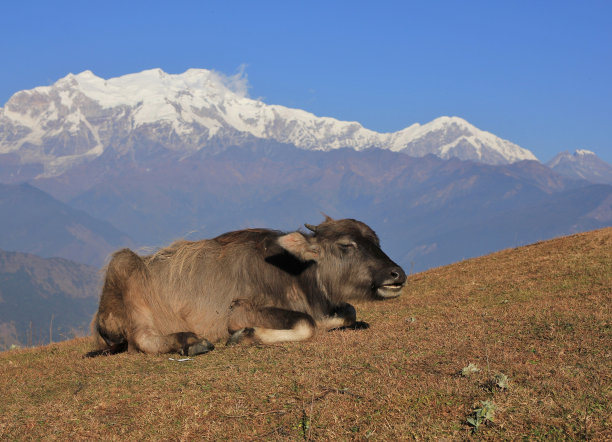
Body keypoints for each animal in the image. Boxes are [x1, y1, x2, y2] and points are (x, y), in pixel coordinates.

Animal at [83, 216, 404, 358]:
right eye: (346, 245)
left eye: (376, 241)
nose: (397, 274)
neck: (295, 274)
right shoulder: (240, 310)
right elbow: (306, 323)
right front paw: (248, 336)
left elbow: (347, 312)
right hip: (123, 267)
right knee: (142, 340)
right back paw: (192, 341)